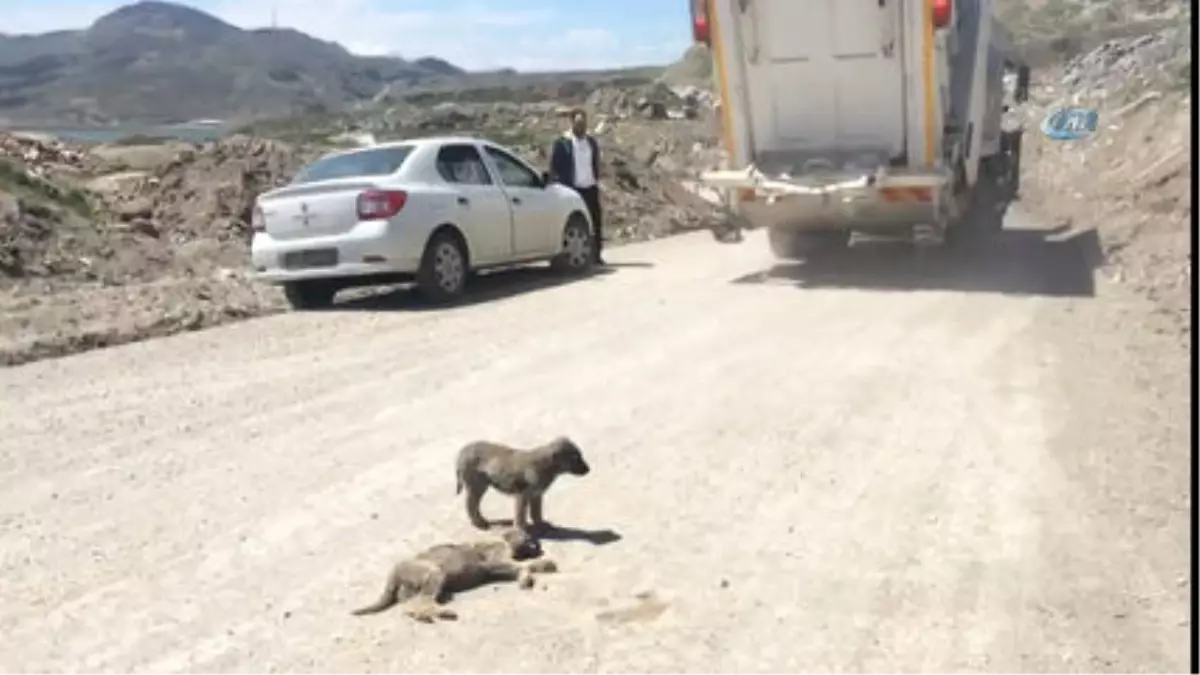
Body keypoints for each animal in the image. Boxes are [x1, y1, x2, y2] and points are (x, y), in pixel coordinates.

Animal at [348, 526, 552, 619]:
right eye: (528, 537)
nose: (539, 545)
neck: (502, 539)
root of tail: (395, 570)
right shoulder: (494, 562)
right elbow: (524, 565)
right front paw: (541, 567)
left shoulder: (495, 568)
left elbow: (524, 565)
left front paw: (543, 564)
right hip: (433, 571)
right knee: (422, 601)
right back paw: (441, 612)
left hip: (413, 588)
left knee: (410, 605)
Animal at [453, 437, 590, 530]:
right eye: (576, 458)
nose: (588, 469)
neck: (548, 466)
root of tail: (461, 452)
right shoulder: (522, 494)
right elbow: (520, 513)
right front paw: (520, 529)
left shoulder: (536, 494)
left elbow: (536, 511)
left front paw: (540, 523)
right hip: (476, 485)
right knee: (471, 504)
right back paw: (479, 523)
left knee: (474, 504)